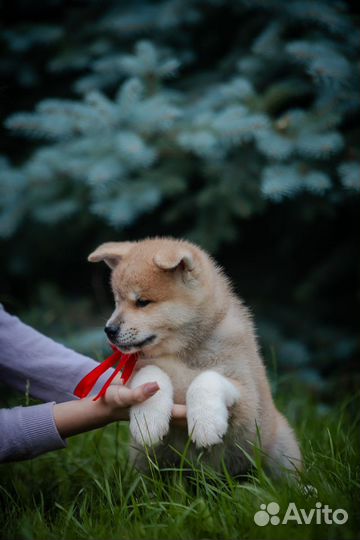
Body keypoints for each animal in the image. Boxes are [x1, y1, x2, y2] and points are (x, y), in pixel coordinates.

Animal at [89, 238, 300, 474]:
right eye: (117, 301)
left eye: (142, 302)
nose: (109, 330)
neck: (181, 354)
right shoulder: (140, 368)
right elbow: (151, 373)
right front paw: (148, 420)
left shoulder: (247, 396)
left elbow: (207, 378)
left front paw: (206, 423)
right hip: (145, 459)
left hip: (279, 448)